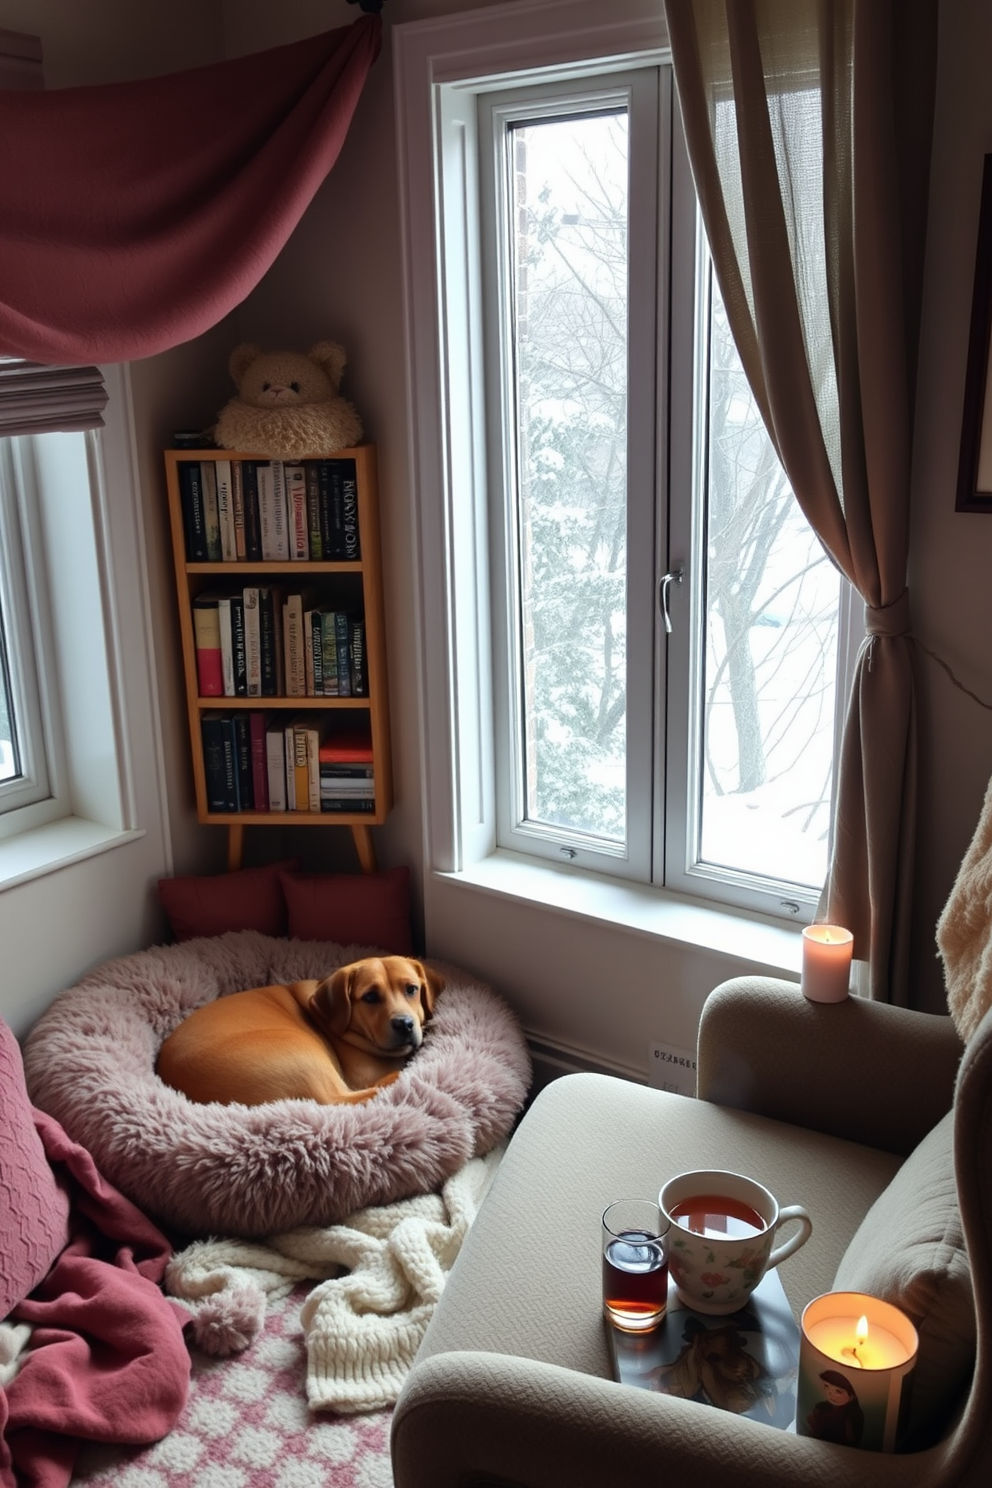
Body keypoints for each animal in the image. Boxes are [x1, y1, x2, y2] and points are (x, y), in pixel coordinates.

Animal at [155, 958, 443, 1113]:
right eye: (370, 997)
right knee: (341, 1099)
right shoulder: (363, 1076)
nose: (404, 1024)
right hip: (302, 1050)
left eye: (412, 989)